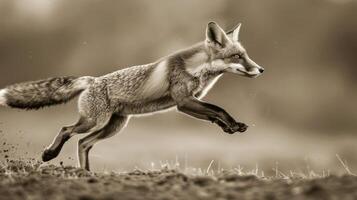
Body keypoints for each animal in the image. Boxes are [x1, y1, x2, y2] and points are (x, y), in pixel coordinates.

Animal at [0, 21, 262, 170]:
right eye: (237, 57)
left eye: (245, 55)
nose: (260, 70)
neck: (196, 69)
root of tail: (93, 80)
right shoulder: (183, 102)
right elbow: (218, 109)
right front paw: (231, 124)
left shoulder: (191, 101)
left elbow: (215, 114)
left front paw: (230, 127)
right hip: (93, 121)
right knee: (66, 130)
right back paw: (50, 154)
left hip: (114, 126)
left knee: (83, 143)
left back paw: (86, 176)